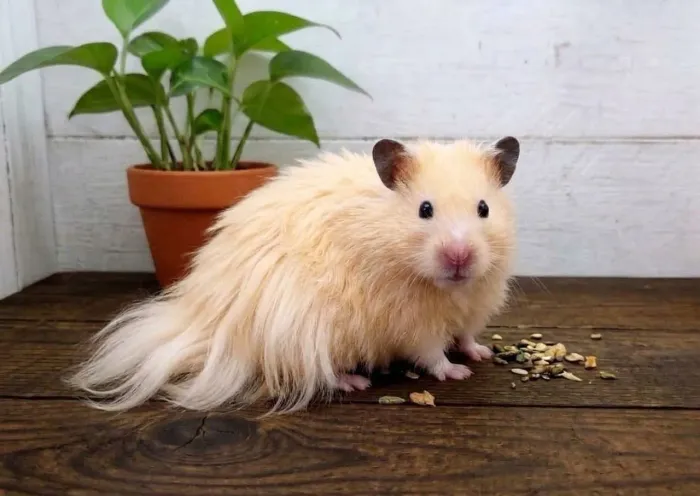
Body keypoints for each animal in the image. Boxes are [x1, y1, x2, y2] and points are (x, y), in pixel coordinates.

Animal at [68, 136, 521, 414]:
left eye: (483, 208)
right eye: (425, 210)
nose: (459, 257)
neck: (451, 290)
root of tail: (206, 322)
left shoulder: (475, 307)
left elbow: (466, 337)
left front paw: (481, 354)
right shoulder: (411, 323)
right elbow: (432, 354)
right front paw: (458, 372)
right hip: (305, 332)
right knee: (315, 371)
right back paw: (354, 382)